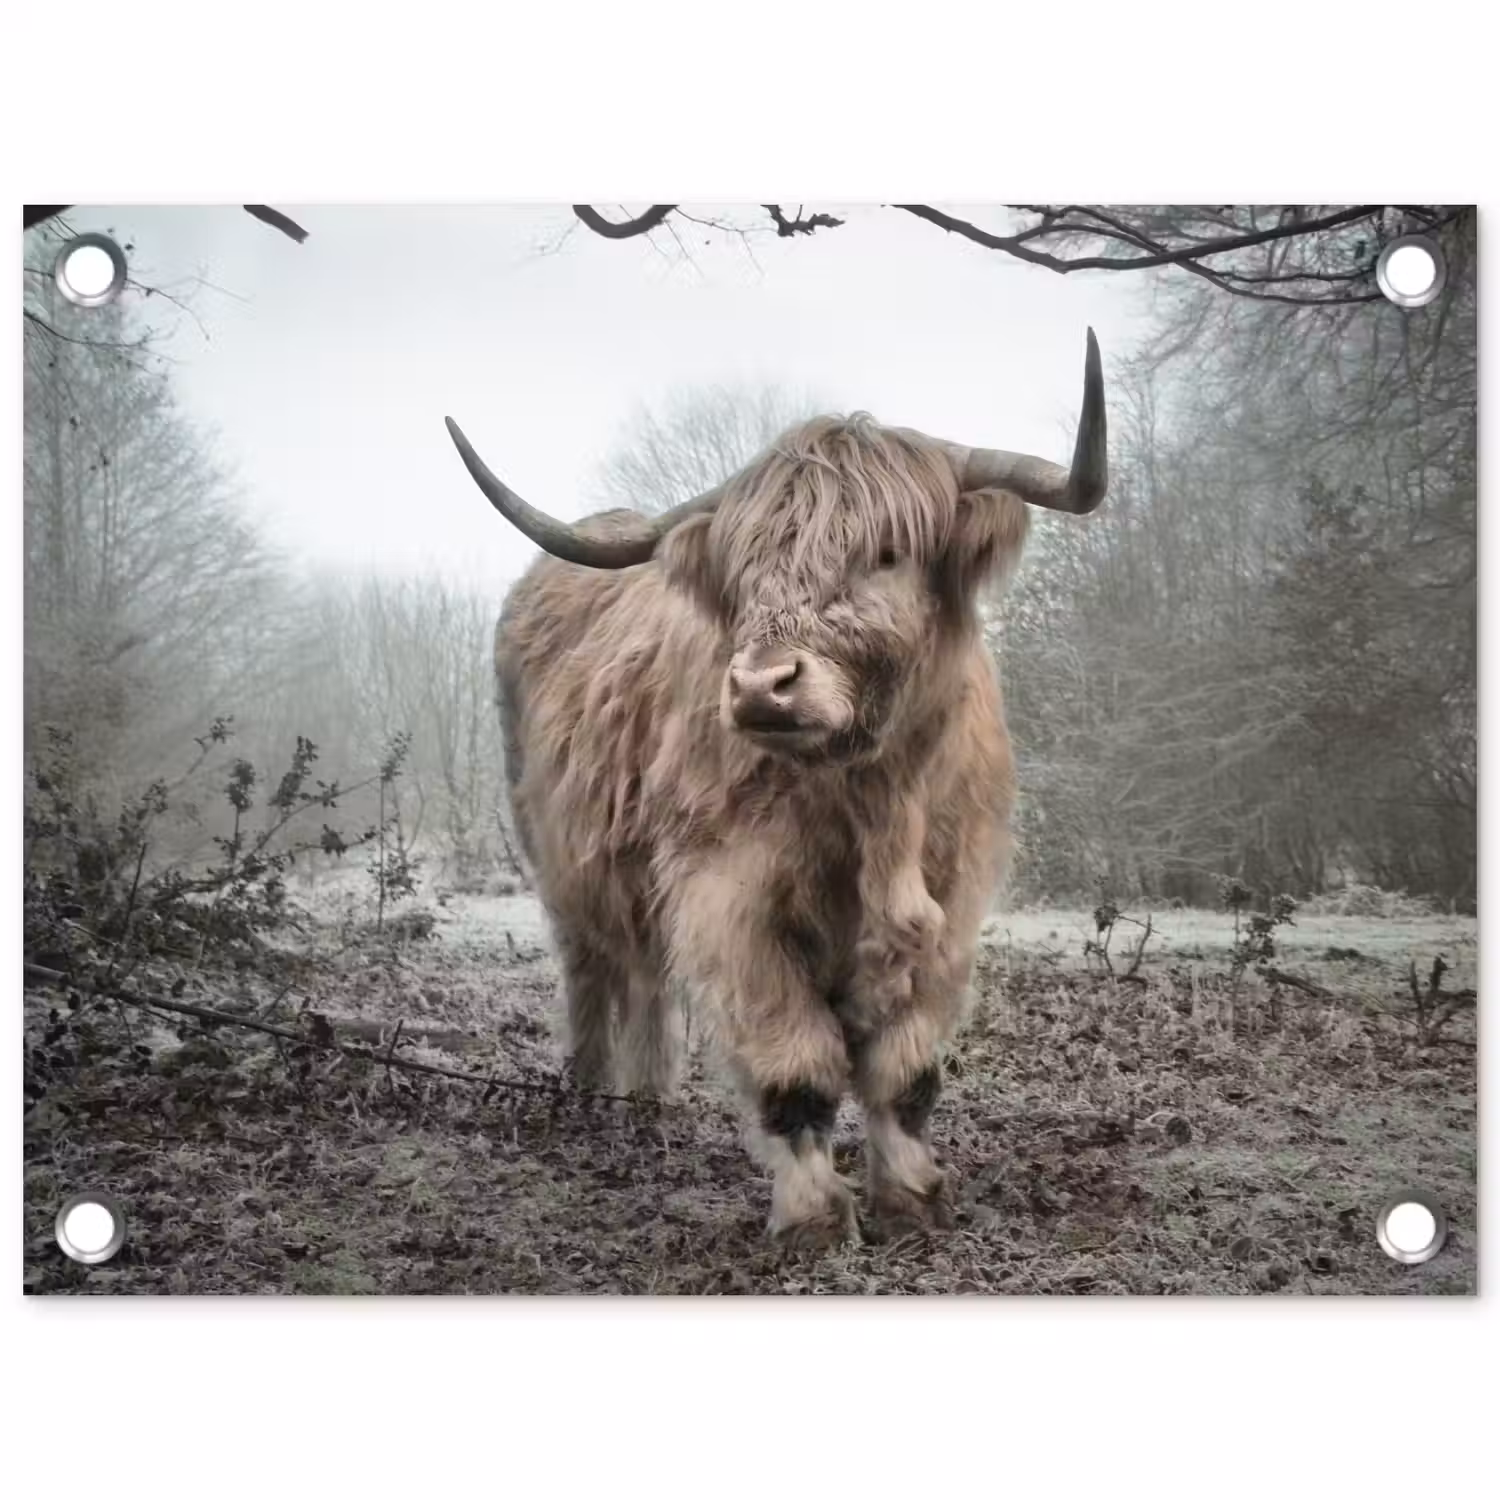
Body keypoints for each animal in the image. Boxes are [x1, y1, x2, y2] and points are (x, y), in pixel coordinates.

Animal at [444, 331, 1107, 1250]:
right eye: (746, 570)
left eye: (887, 554)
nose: (762, 686)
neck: (872, 801)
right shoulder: (731, 899)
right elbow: (797, 1067)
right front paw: (814, 1219)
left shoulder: (952, 902)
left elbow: (905, 1071)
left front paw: (912, 1199)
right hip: (559, 859)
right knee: (593, 970)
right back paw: (591, 1093)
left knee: (645, 977)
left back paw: (648, 1098)